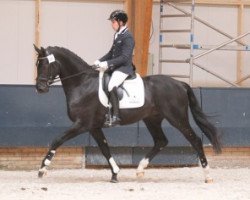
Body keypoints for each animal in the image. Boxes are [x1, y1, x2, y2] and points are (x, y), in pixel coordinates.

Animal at [34, 45, 221, 183]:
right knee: (161, 141)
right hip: (152, 119)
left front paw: (42, 169)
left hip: (177, 118)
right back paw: (140, 169)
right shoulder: (94, 127)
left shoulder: (82, 124)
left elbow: (57, 140)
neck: (82, 83)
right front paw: (115, 173)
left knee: (195, 140)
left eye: (46, 65)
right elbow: (104, 148)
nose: (40, 88)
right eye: (37, 65)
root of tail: (180, 84)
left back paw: (208, 175)